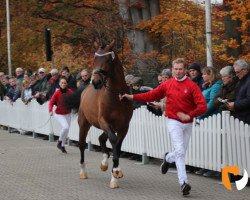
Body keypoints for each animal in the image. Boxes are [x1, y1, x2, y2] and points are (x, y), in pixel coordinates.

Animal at [78, 40, 134, 188]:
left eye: (109, 59)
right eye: (94, 58)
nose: (96, 81)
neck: (116, 97)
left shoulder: (124, 127)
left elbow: (118, 146)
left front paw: (115, 173)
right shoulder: (104, 121)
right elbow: (113, 140)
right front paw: (116, 171)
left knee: (102, 138)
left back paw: (104, 162)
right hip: (84, 124)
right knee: (82, 144)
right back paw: (83, 172)